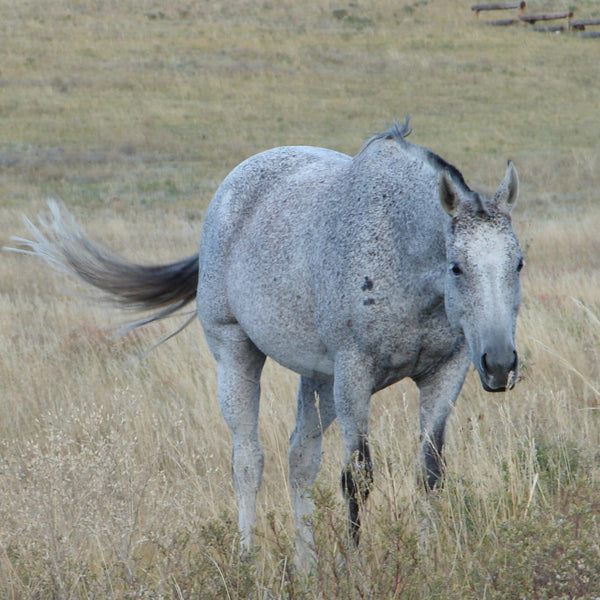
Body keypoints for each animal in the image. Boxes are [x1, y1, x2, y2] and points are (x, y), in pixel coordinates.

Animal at [10, 118, 524, 572]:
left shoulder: (445, 373)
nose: (500, 365)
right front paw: (357, 568)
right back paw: (247, 561)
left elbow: (429, 475)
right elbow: (357, 477)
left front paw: (427, 557)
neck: (398, 251)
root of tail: (233, 185)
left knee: (300, 461)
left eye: (518, 262)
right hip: (237, 353)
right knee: (248, 461)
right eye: (456, 266)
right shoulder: (355, 375)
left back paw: (306, 567)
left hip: (318, 379)